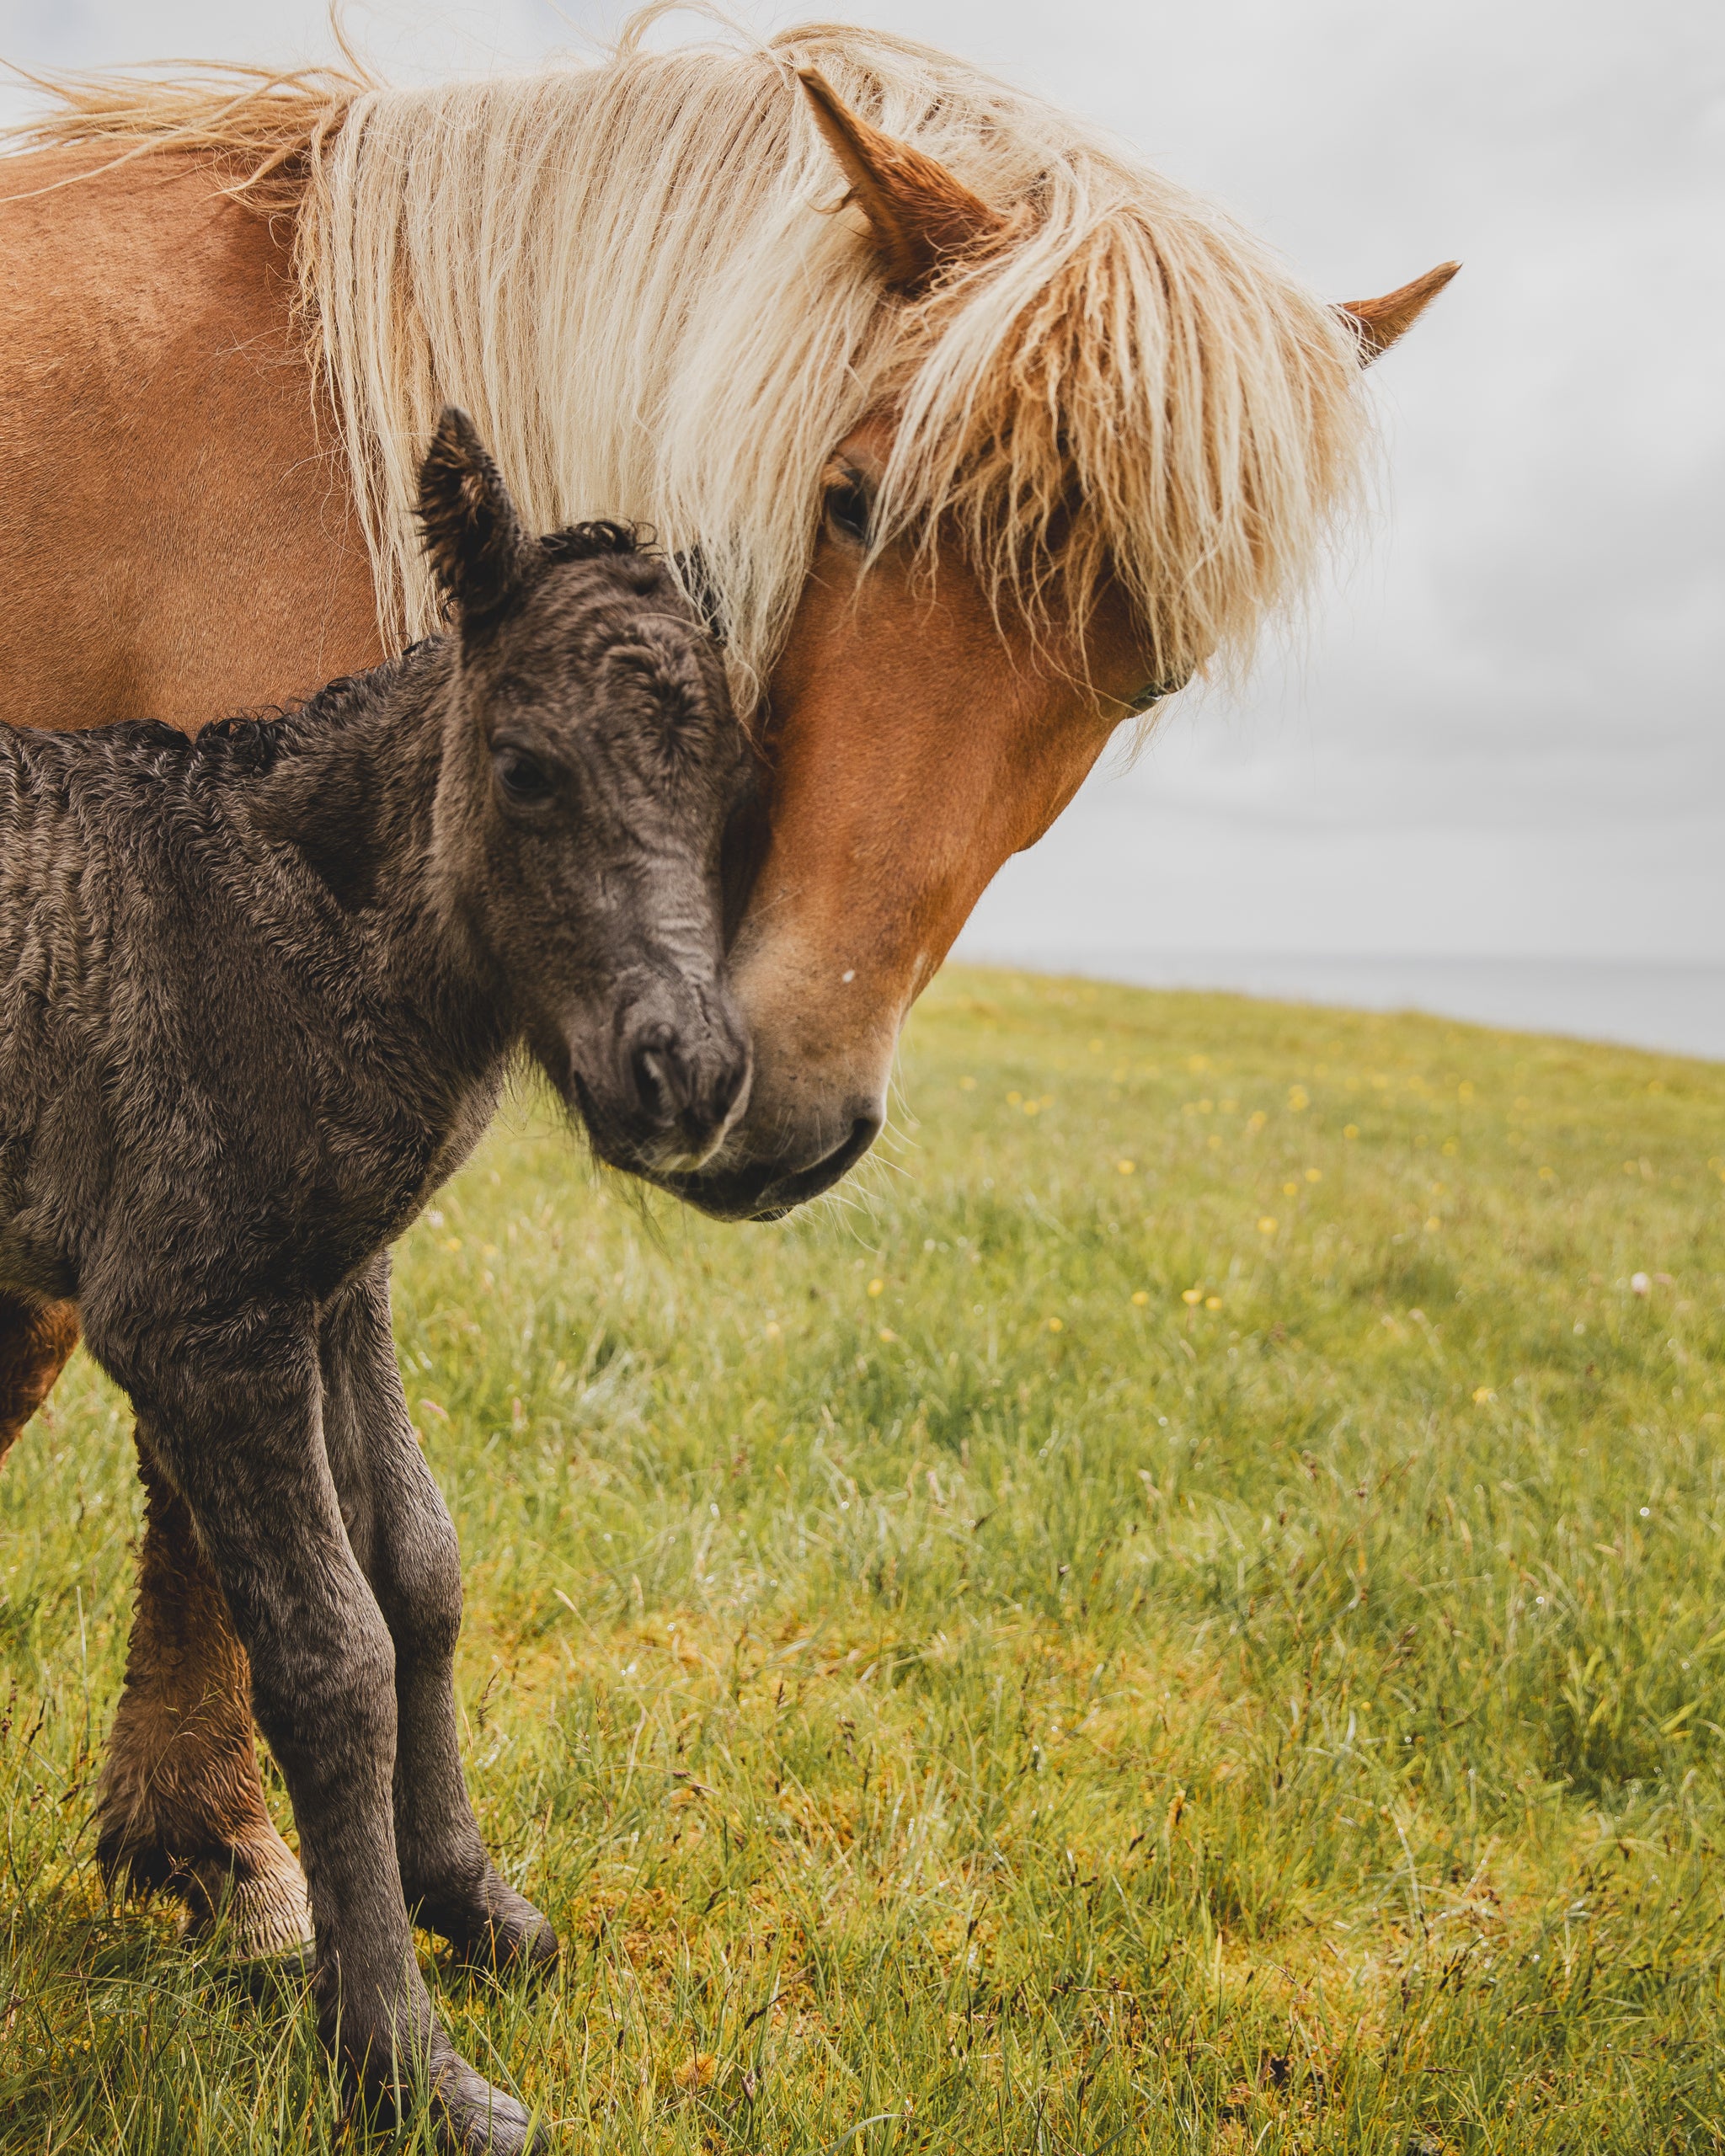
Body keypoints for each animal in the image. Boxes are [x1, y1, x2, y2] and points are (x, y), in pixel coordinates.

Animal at [0, 409, 751, 2150]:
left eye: (736, 784)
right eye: (526, 769)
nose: (684, 1074)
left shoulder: (340, 1282)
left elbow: (419, 1567)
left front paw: (467, 1904)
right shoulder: (198, 1317)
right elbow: (329, 1654)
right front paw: (403, 2061)